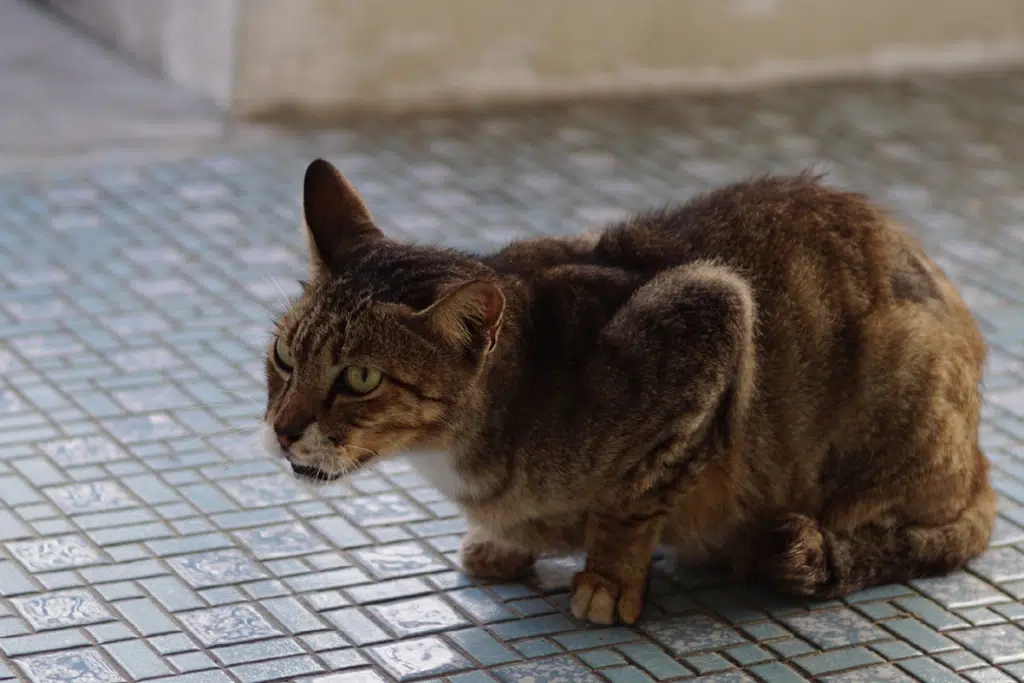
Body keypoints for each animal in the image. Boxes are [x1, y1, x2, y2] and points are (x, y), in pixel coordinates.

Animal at [260, 158, 995, 626]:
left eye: (360, 378)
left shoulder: (712, 310)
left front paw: (609, 578)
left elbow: (634, 499)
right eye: (285, 357)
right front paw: (507, 544)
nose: (282, 428)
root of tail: (982, 462)